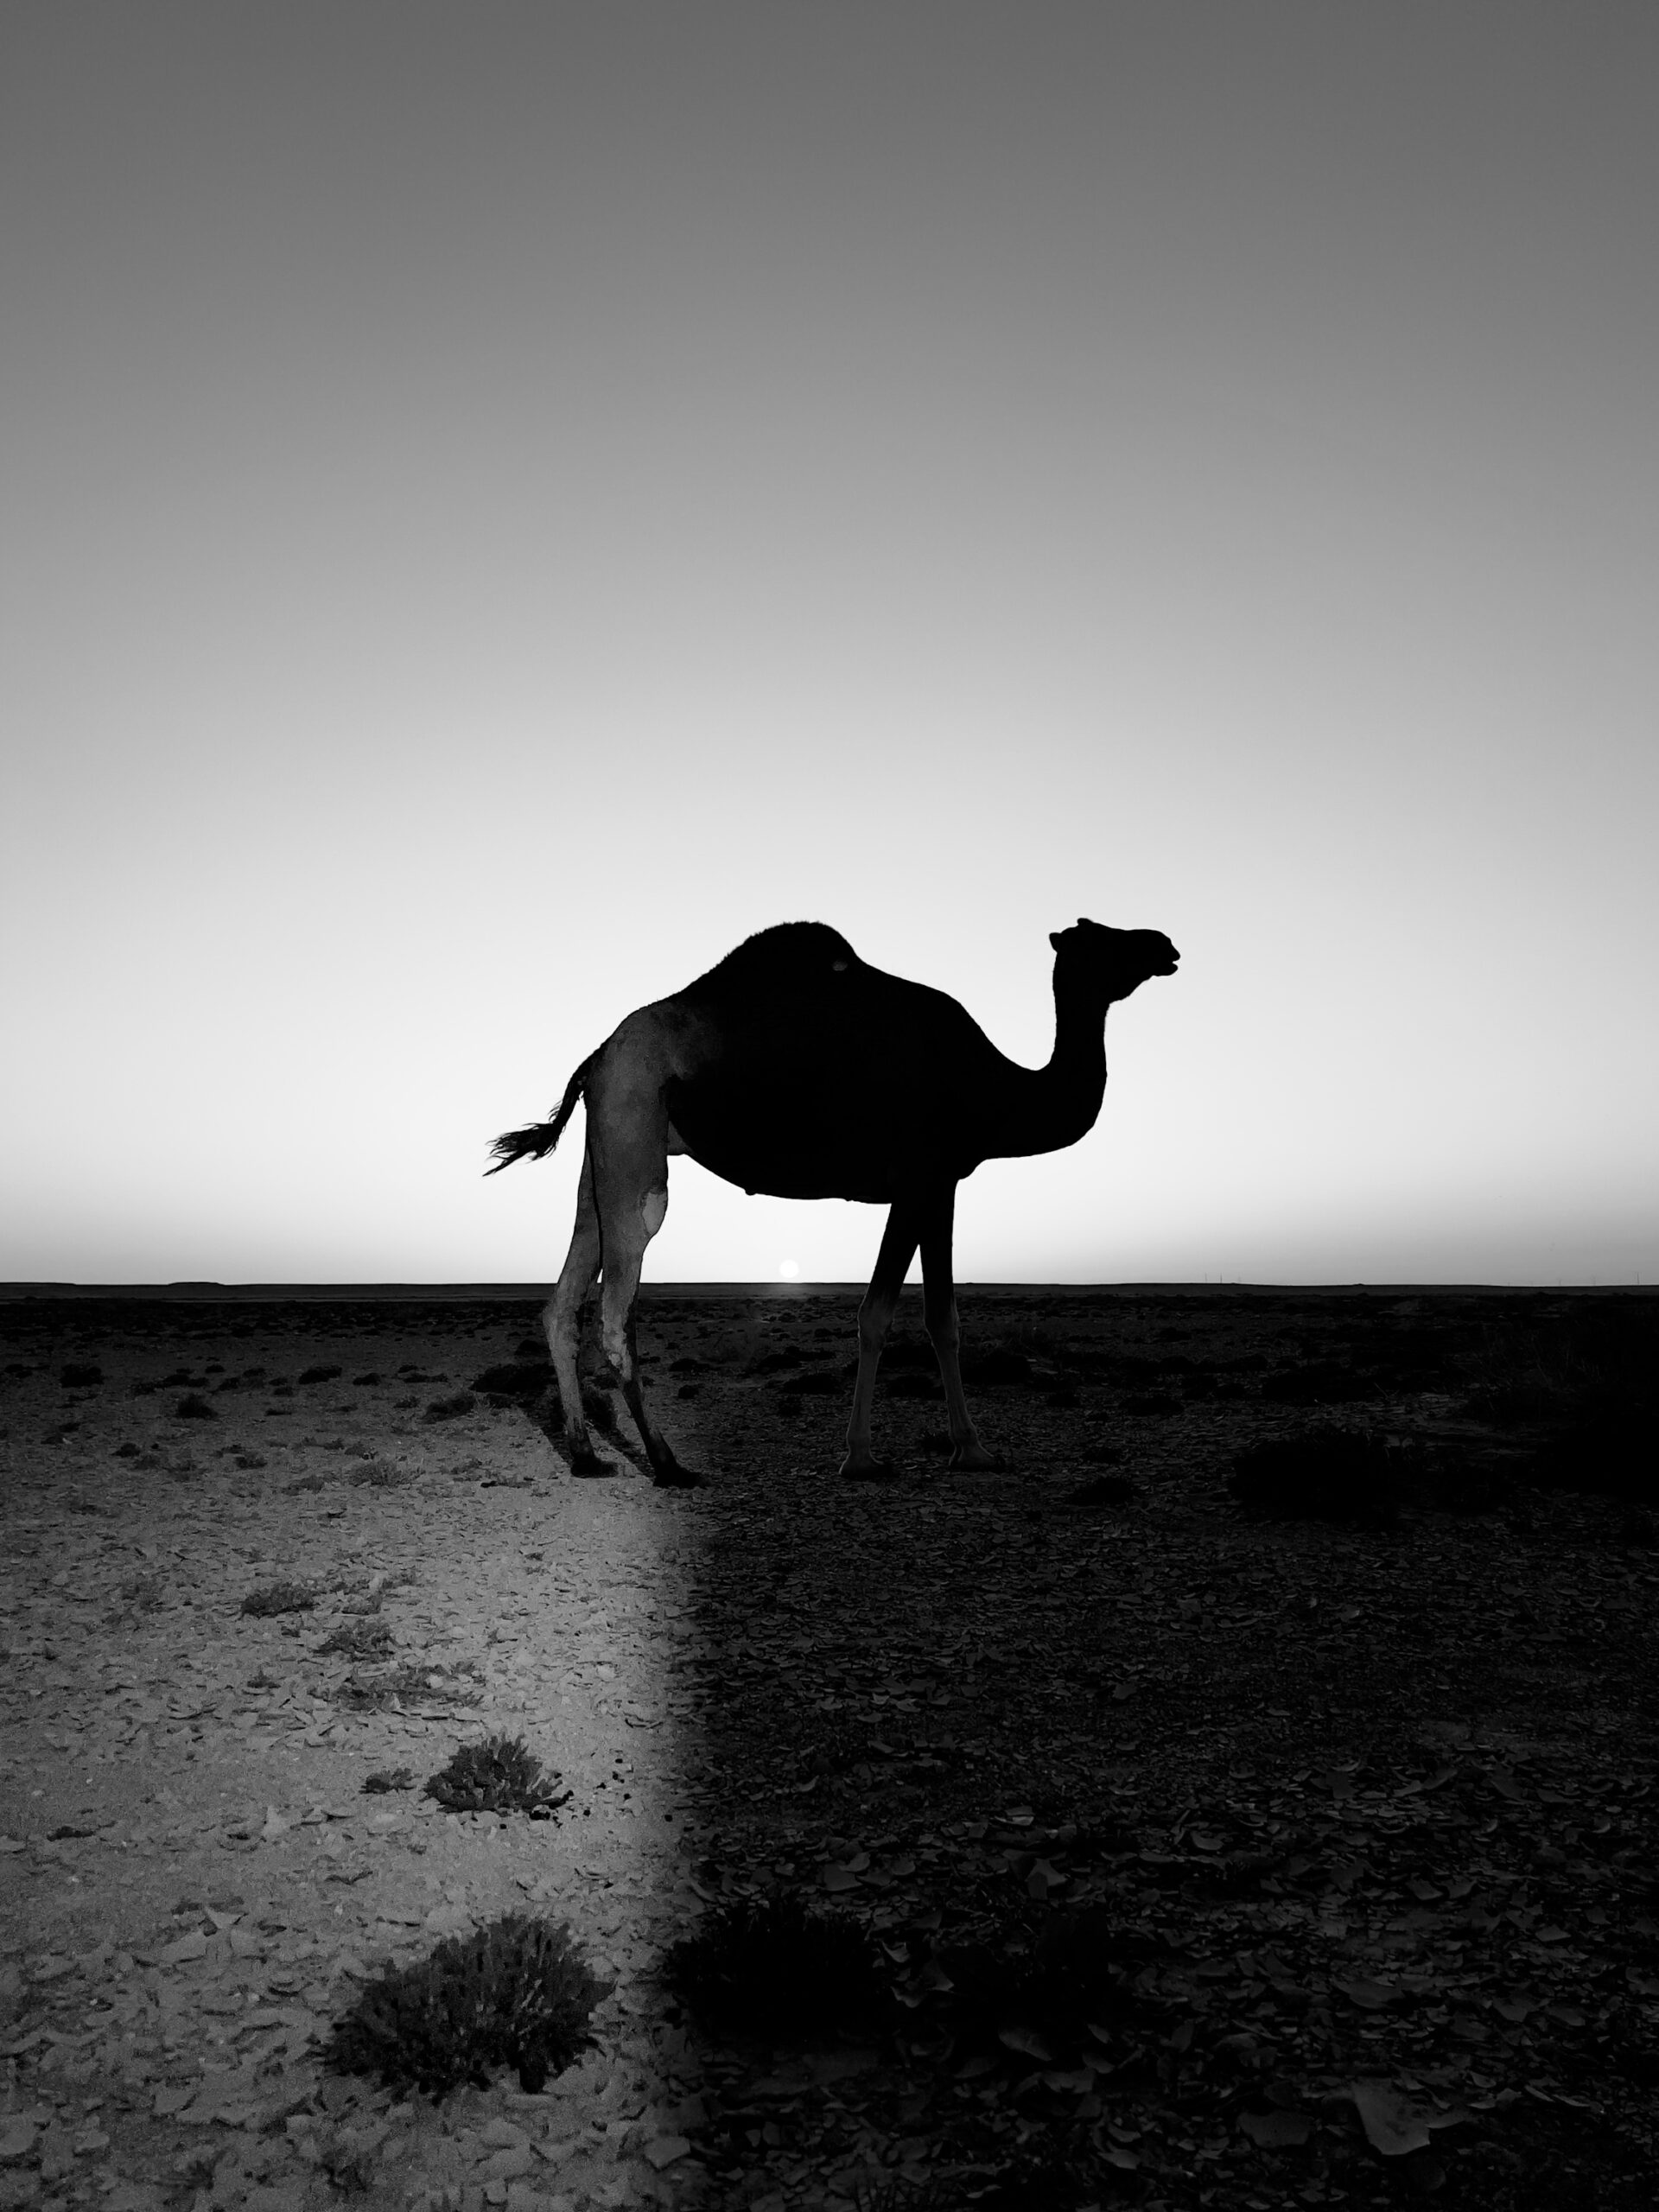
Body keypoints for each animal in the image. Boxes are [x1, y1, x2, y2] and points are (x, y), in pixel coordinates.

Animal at [487, 918, 1179, 1485]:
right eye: (1100, 937)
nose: (1165, 945)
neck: (995, 1089)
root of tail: (596, 1057)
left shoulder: (942, 1186)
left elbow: (944, 1318)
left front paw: (972, 1450)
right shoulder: (919, 1178)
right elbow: (878, 1315)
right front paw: (862, 1458)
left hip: (602, 1153)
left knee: (564, 1297)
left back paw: (585, 1455)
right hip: (635, 1129)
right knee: (616, 1305)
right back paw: (667, 1464)